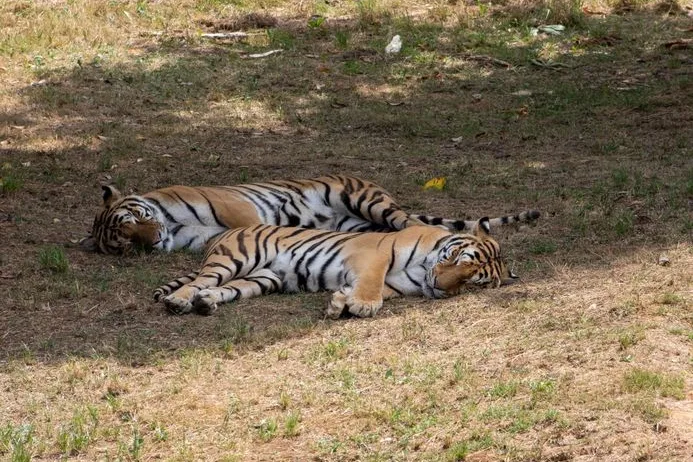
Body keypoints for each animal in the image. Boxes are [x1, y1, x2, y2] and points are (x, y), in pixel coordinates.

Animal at [154, 217, 517, 319]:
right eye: (457, 258)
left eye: (471, 282)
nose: (441, 287)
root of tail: (225, 233)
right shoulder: (373, 254)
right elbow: (372, 283)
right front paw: (362, 305)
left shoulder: (398, 285)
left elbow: (374, 289)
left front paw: (340, 303)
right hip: (235, 259)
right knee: (198, 280)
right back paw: (179, 302)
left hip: (262, 279)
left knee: (222, 288)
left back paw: (206, 302)